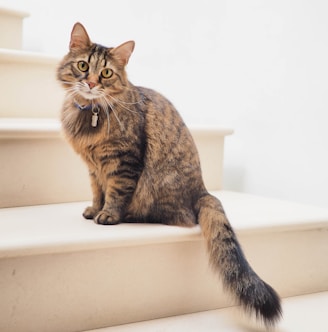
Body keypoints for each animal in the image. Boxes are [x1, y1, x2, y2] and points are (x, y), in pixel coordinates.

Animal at [57, 23, 282, 326]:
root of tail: (203, 190)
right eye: (83, 66)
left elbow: (115, 192)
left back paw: (130, 215)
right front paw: (94, 209)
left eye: (106, 73)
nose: (91, 84)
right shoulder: (94, 168)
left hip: (155, 186)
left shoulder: (123, 161)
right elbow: (97, 192)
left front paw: (108, 215)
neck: (90, 114)